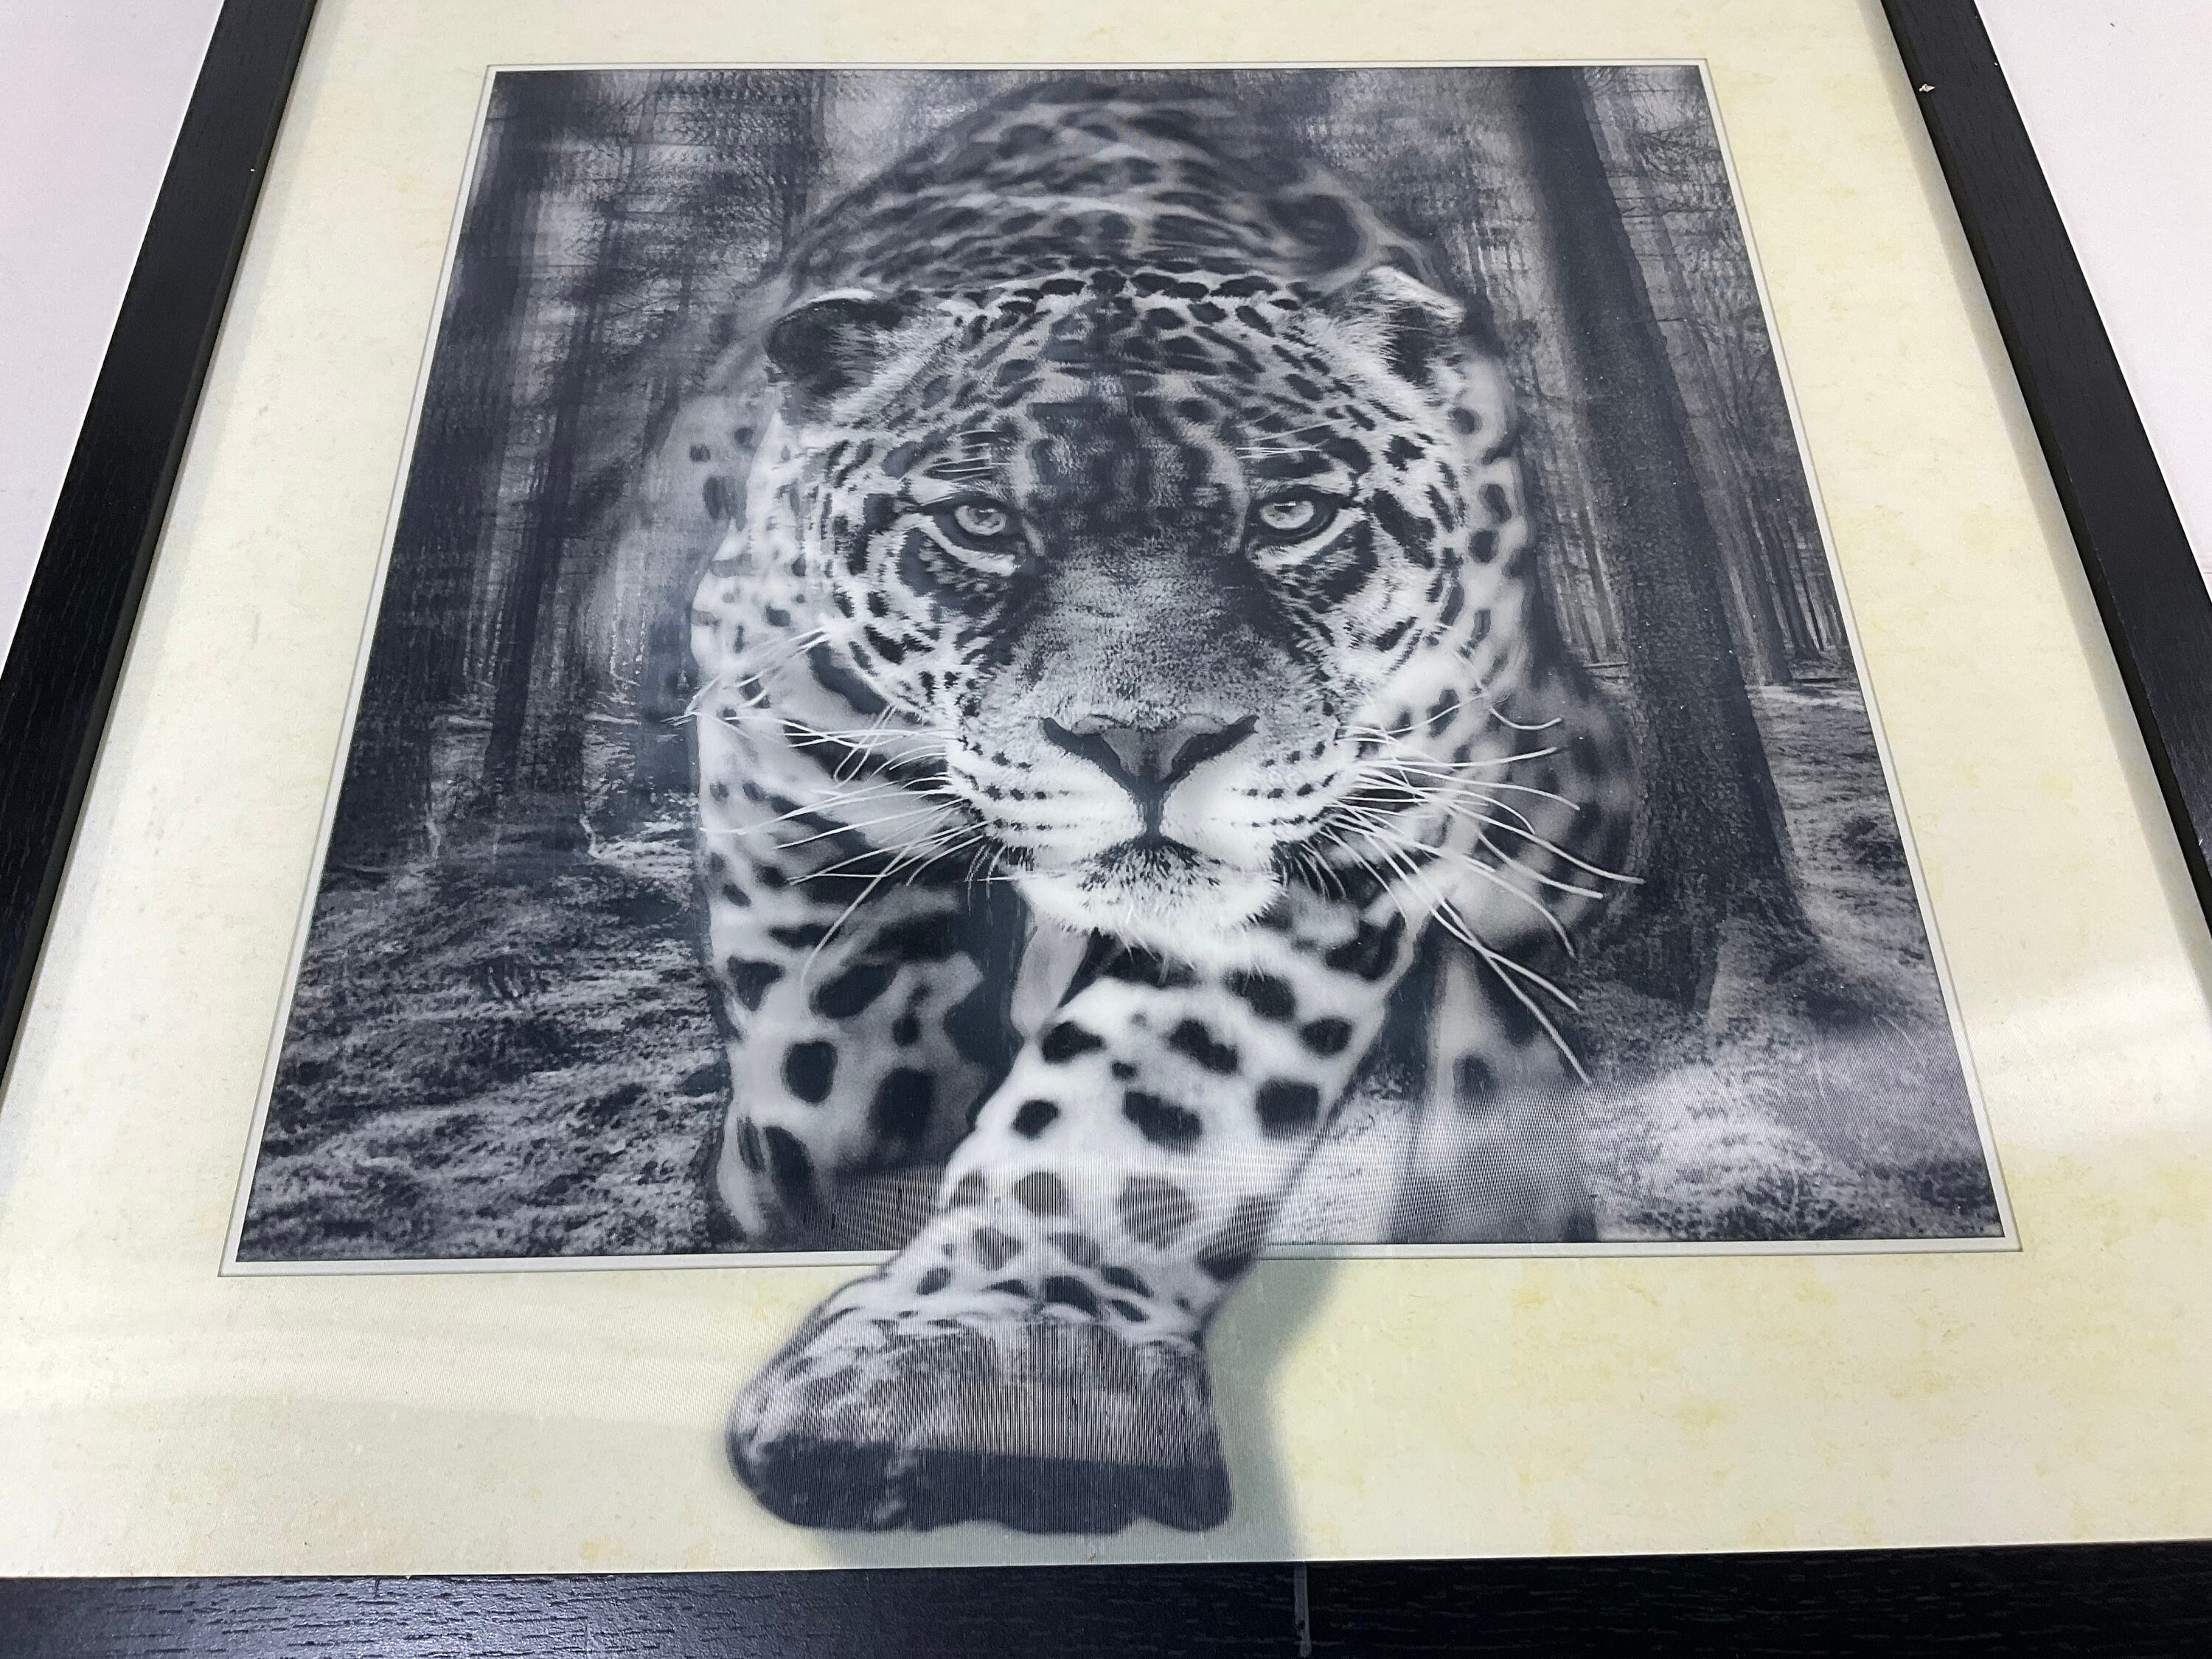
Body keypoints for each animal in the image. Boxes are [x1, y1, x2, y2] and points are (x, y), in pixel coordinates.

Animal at [624, 77, 1636, 1535]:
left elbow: (1152, 1089)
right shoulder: (787, 754)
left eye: (1294, 515)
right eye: (981, 524)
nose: (1146, 743)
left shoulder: (1334, 850)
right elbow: (825, 1058)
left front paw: (1005, 1357)